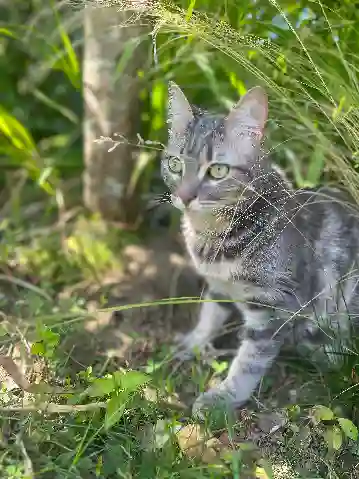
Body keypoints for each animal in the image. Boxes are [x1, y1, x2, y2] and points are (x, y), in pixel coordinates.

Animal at [162, 80, 359, 418]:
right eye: (175, 164)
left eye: (217, 171)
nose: (185, 197)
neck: (212, 239)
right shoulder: (217, 285)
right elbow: (209, 314)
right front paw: (193, 342)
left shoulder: (274, 305)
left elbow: (249, 361)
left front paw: (223, 398)